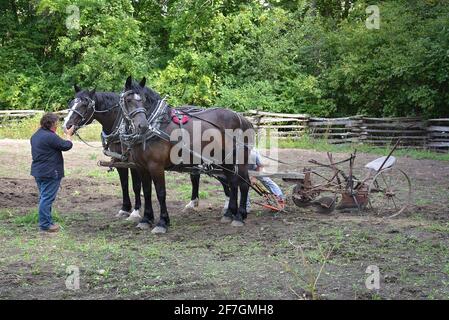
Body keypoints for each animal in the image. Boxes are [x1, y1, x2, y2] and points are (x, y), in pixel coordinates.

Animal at [119, 76, 254, 234]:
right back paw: (229, 214)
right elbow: (146, 191)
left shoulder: (156, 166)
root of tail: (242, 119)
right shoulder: (141, 167)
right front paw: (146, 219)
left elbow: (160, 193)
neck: (156, 126)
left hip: (239, 158)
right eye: (128, 100)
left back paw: (239, 216)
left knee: (243, 184)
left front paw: (162, 222)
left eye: (144, 100)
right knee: (232, 182)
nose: (143, 126)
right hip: (224, 160)